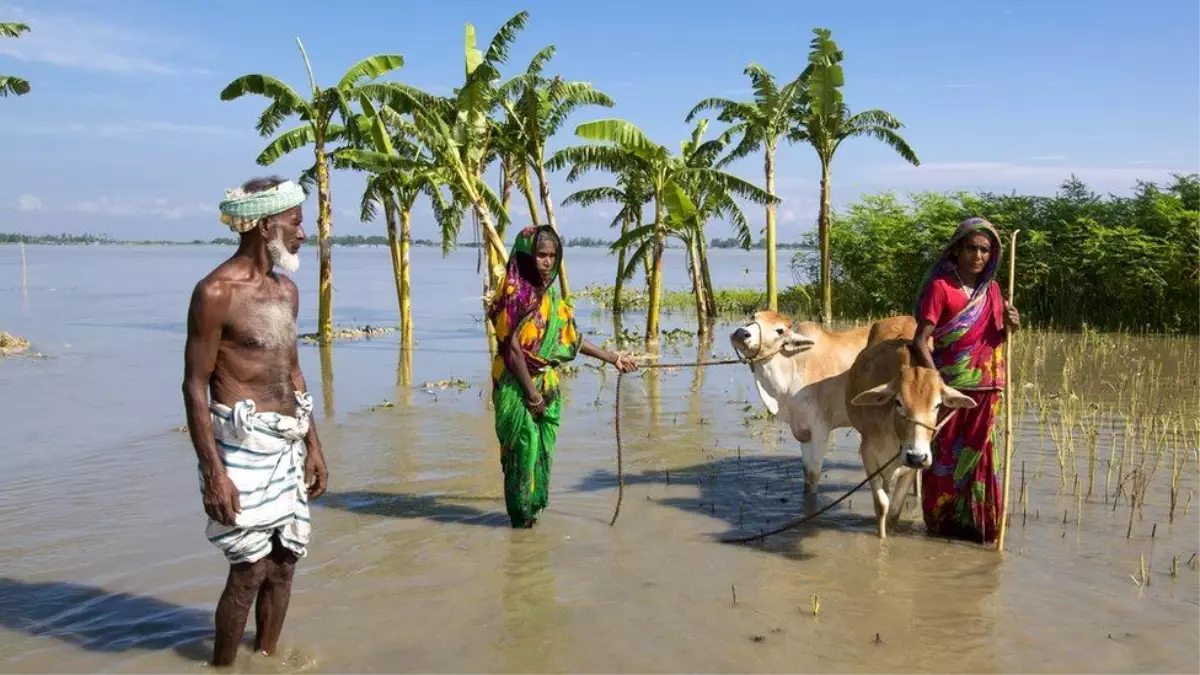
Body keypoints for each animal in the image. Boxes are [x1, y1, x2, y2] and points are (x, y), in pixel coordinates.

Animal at [724, 309, 912, 487]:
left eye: (780, 330)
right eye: (753, 317)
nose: (741, 333)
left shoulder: (820, 427)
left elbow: (813, 474)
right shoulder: (803, 429)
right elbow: (807, 474)